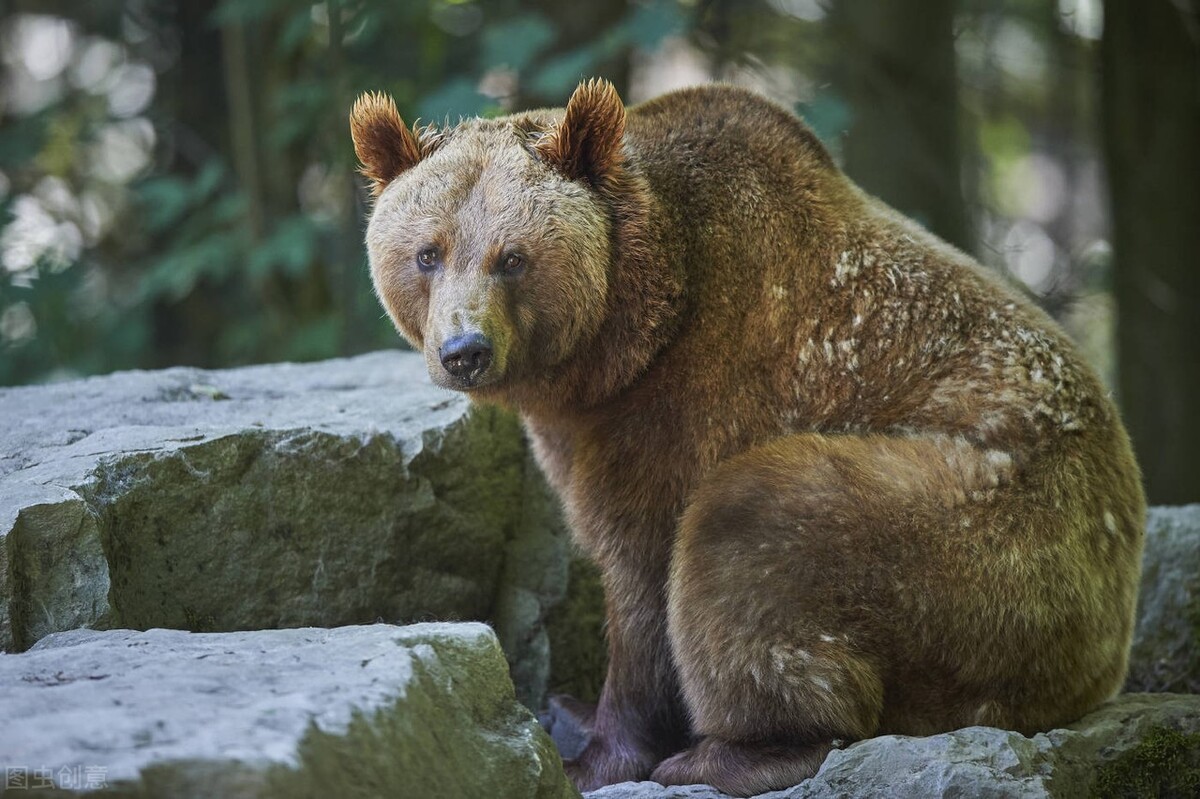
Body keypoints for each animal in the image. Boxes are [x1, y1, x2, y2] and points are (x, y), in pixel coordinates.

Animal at [348, 82, 1142, 796]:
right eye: (428, 253)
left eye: (512, 257)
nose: (465, 350)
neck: (630, 332)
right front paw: (574, 710)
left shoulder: (678, 407)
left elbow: (643, 575)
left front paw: (596, 755)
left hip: (987, 535)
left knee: (748, 525)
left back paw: (728, 753)